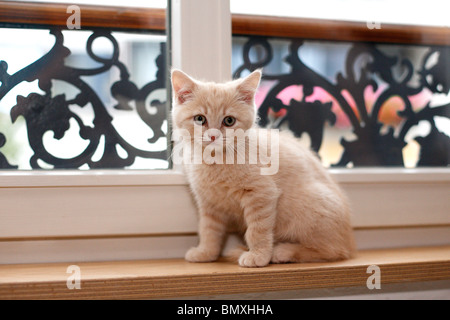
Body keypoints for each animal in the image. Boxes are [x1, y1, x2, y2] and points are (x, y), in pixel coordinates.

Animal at [170, 69, 356, 268]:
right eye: (199, 119)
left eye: (229, 121)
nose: (213, 136)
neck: (215, 161)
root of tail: (350, 240)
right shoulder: (209, 202)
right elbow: (209, 229)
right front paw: (206, 252)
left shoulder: (262, 193)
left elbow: (257, 230)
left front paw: (258, 255)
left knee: (334, 251)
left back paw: (282, 251)